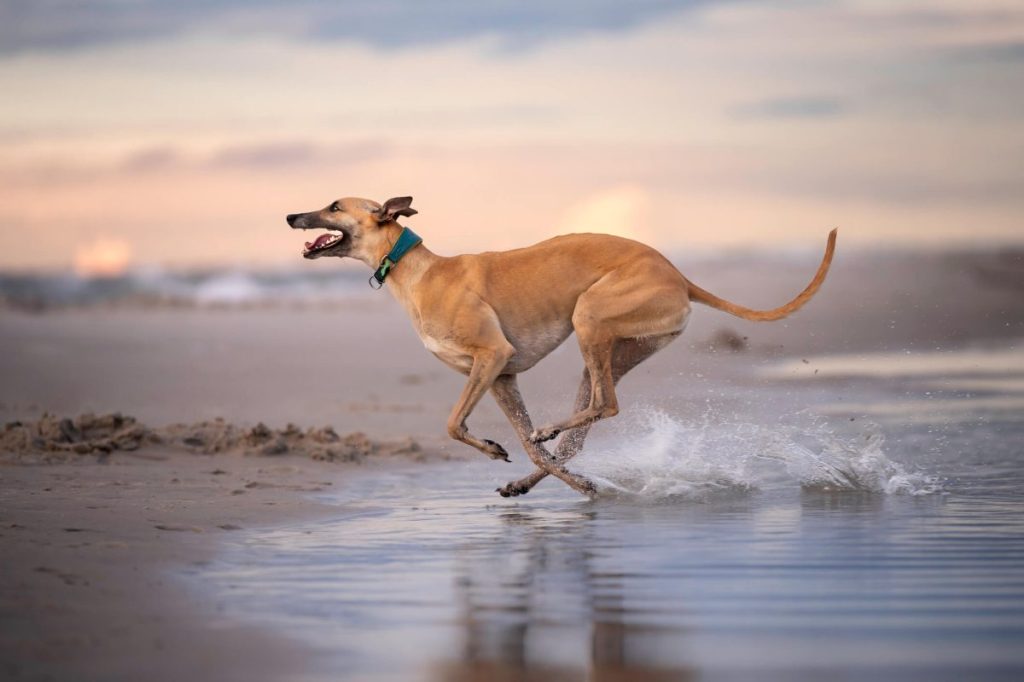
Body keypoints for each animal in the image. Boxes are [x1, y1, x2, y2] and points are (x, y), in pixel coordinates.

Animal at [284, 195, 835, 493]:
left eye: (334, 206)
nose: (291, 216)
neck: (417, 271)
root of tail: (678, 275)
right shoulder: (500, 375)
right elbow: (528, 448)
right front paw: (522, 463)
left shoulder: (493, 357)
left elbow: (453, 425)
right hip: (614, 349)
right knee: (577, 435)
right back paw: (539, 471)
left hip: (590, 318)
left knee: (605, 407)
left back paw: (555, 438)